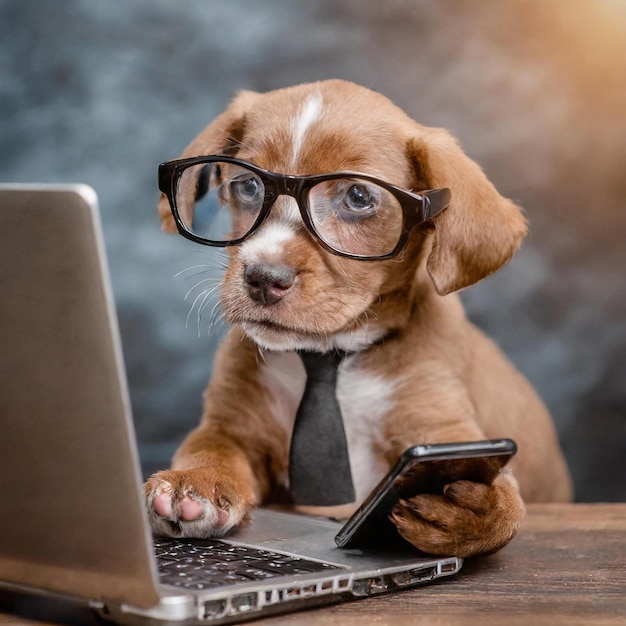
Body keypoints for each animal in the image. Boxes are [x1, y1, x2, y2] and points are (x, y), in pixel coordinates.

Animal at [146, 79, 572, 556]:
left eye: (358, 196)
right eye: (248, 185)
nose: (262, 277)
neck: (331, 358)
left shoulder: (442, 426)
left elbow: (506, 503)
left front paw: (479, 508)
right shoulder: (232, 426)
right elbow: (211, 449)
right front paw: (196, 483)